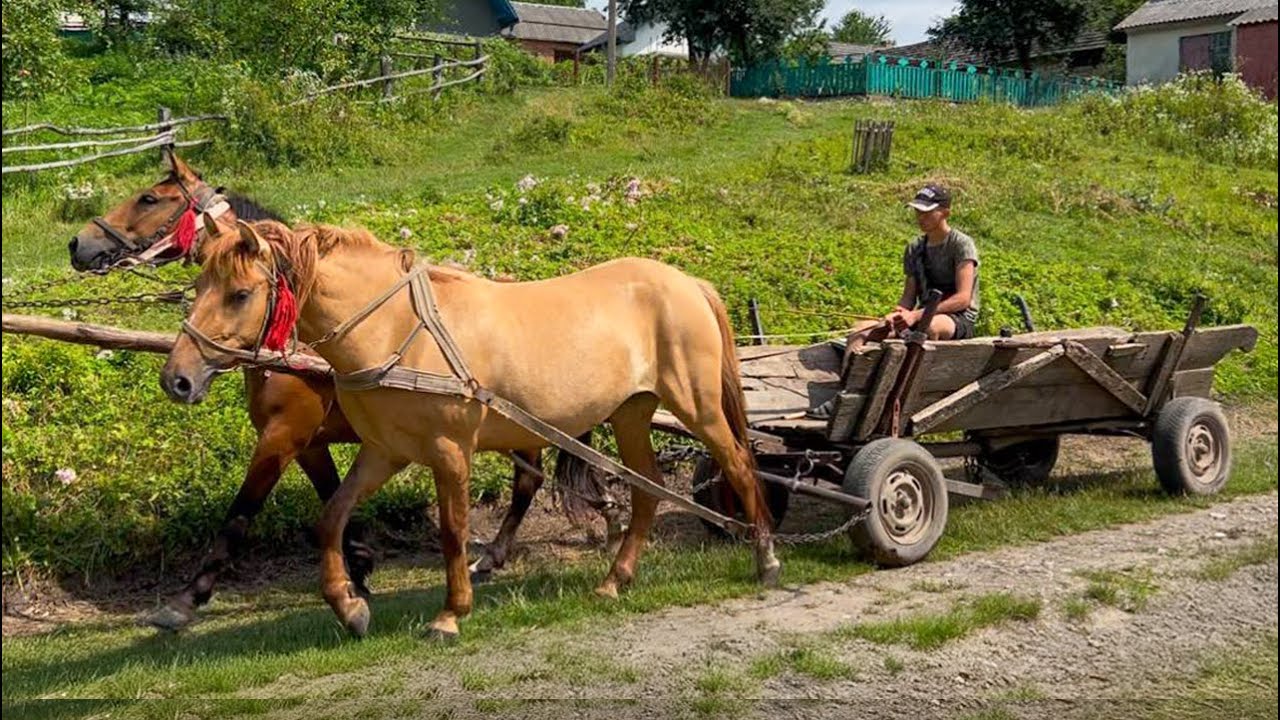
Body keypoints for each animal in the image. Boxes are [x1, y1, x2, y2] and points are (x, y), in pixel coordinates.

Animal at [69, 151, 617, 631]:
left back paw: (498, 554)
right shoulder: (311, 443)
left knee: (527, 482)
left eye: (146, 198)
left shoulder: (283, 434)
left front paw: (186, 600)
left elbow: (239, 515)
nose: (79, 244)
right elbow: (333, 500)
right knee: (532, 478)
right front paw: (358, 569)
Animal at [161, 218, 781, 640]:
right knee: (646, 490)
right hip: (630, 412)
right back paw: (615, 578)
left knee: (739, 465)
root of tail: (687, 282)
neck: (397, 330)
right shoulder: (383, 451)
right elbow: (331, 517)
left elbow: (453, 531)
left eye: (240, 293)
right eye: (198, 287)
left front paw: (450, 614)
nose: (177, 380)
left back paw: (766, 559)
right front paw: (350, 605)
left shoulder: (448, 450)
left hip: (697, 407)